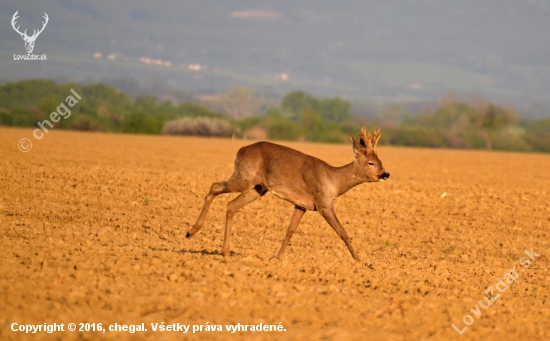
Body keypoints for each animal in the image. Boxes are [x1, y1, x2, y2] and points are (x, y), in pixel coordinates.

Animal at [188, 127, 390, 260]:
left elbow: (290, 230)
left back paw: (225, 251)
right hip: (244, 177)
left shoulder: (302, 205)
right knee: (214, 186)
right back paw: (191, 231)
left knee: (231, 205)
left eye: (380, 160)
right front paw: (359, 260)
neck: (334, 181)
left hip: (258, 188)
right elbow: (343, 232)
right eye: (371, 163)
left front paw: (277, 258)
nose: (385, 174)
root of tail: (239, 151)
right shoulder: (323, 204)